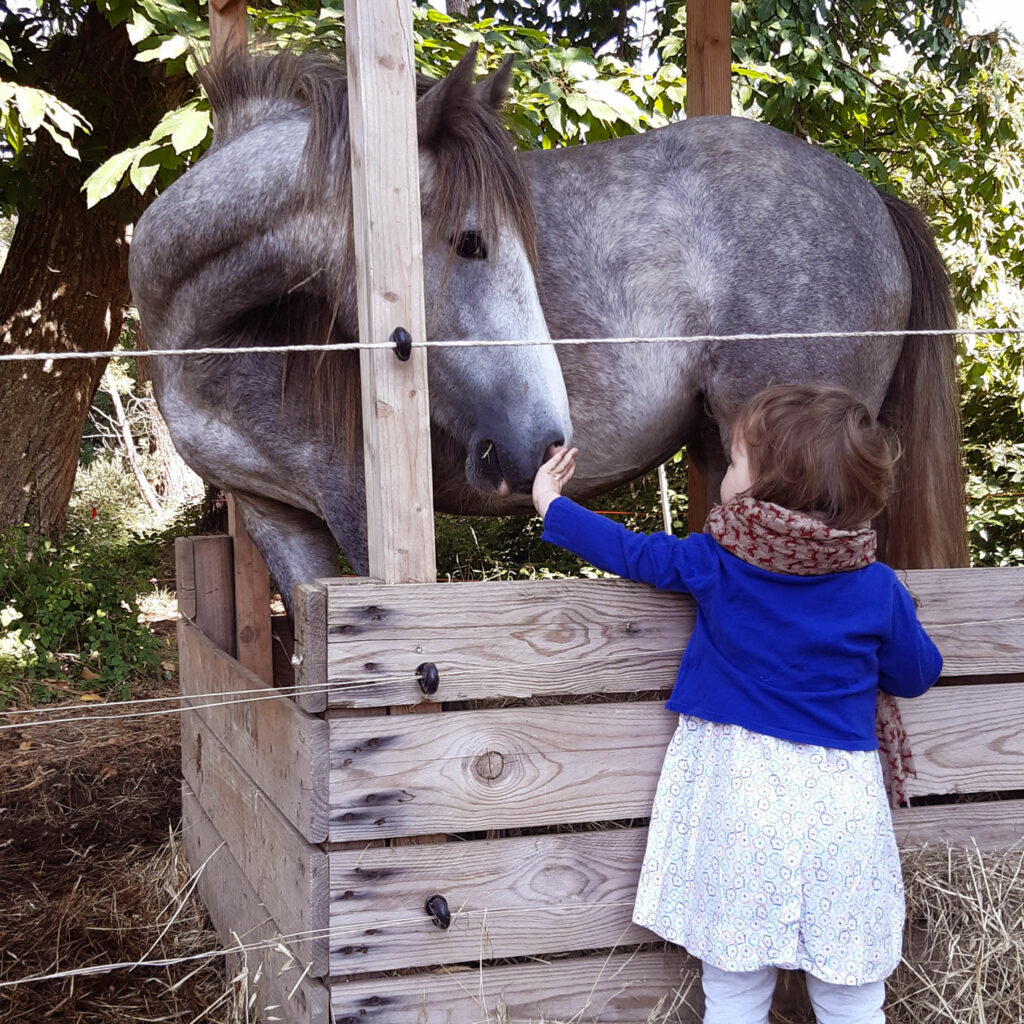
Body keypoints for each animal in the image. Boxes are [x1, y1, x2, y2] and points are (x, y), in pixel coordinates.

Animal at [130, 48, 966, 606]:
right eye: (471, 241)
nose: (545, 440)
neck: (220, 338)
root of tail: (874, 198)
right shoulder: (277, 519)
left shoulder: (358, 511)